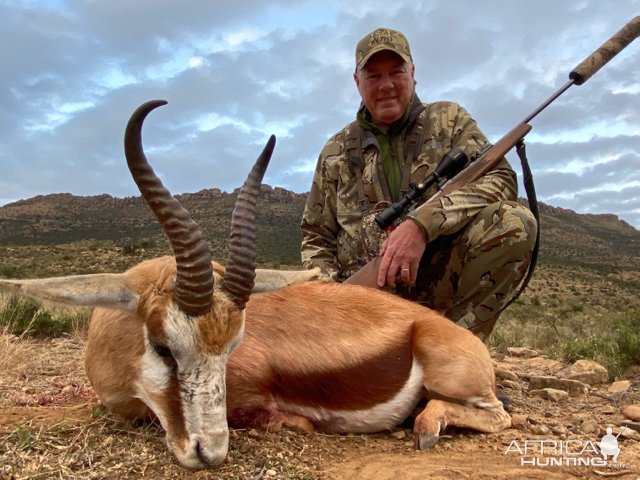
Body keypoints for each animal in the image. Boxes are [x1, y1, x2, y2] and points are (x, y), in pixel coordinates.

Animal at [0, 99, 510, 470]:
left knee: (499, 415)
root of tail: (446, 330)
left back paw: (425, 428)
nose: (209, 453)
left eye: (232, 350)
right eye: (164, 347)